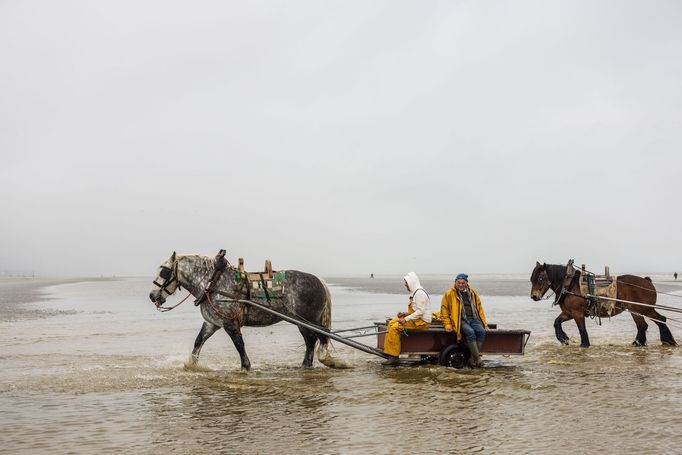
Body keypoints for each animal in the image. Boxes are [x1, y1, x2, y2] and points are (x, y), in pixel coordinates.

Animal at [148, 253, 340, 370]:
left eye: (164, 272)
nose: (152, 295)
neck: (213, 283)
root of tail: (318, 280)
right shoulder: (212, 323)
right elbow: (198, 342)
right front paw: (192, 365)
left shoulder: (230, 323)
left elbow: (239, 344)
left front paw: (246, 366)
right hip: (301, 320)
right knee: (311, 340)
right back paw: (307, 364)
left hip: (308, 320)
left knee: (319, 337)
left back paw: (325, 359)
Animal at [528, 262, 672, 348]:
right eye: (531, 279)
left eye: (540, 278)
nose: (534, 296)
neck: (569, 285)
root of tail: (647, 281)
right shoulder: (568, 313)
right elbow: (556, 322)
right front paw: (564, 339)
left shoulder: (577, 314)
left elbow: (582, 330)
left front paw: (584, 344)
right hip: (635, 310)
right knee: (642, 326)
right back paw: (638, 343)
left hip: (645, 309)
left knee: (660, 319)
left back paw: (668, 341)